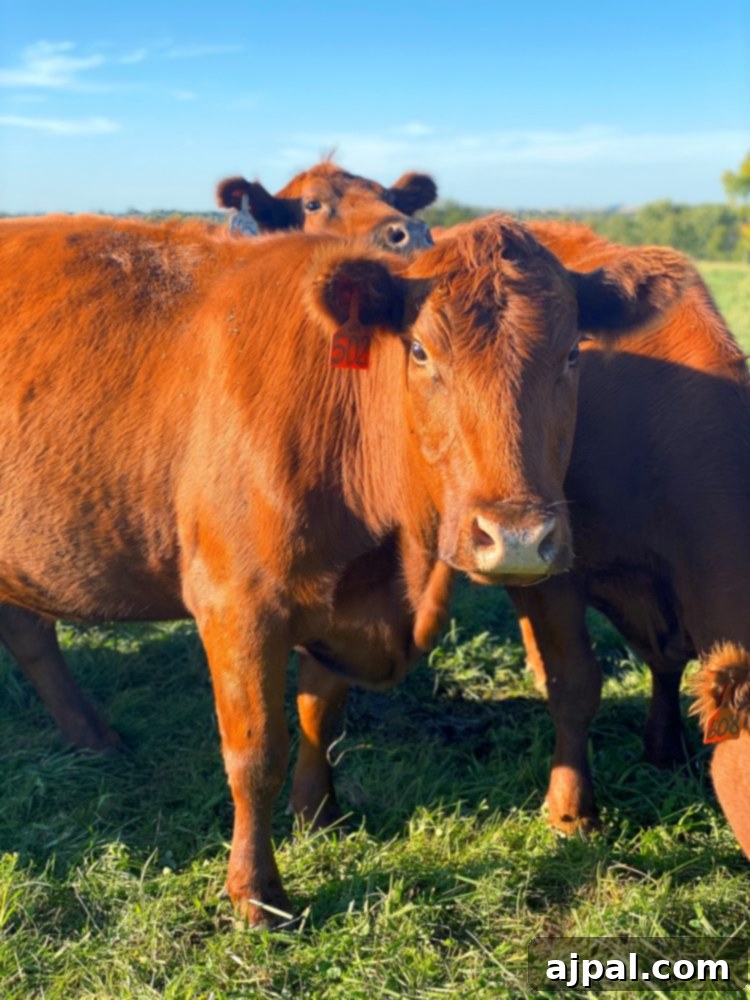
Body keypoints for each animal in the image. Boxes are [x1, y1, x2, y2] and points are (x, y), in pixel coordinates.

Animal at [0, 211, 687, 925]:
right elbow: (255, 751)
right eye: (420, 351)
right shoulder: (236, 602)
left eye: (573, 353)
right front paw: (256, 893)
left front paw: (316, 813)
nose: (519, 537)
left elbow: (317, 712)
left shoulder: (340, 595)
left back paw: (92, 737)